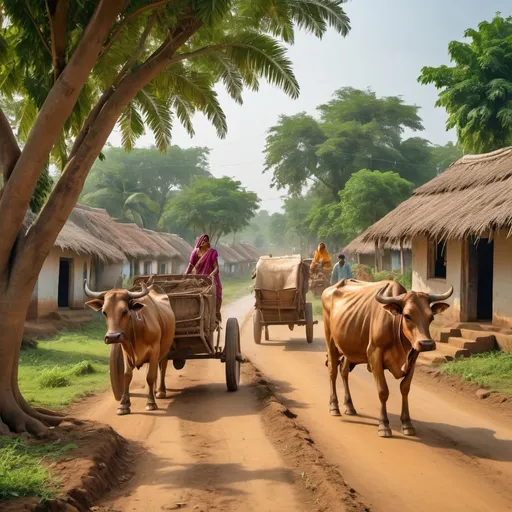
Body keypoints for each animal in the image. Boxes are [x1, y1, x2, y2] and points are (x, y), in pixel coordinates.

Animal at [82, 280, 174, 416]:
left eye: (124, 311)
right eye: (104, 312)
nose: (112, 337)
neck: (137, 326)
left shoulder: (154, 350)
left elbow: (150, 376)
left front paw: (151, 402)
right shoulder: (125, 351)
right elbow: (127, 375)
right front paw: (123, 405)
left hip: (165, 349)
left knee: (162, 368)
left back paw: (160, 391)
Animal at [322, 278, 454, 438]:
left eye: (431, 317)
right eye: (407, 315)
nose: (427, 343)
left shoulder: (413, 356)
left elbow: (405, 388)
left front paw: (407, 423)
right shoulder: (374, 354)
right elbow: (383, 391)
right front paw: (384, 425)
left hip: (349, 348)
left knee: (344, 371)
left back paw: (350, 406)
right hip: (330, 341)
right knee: (333, 372)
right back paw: (334, 407)